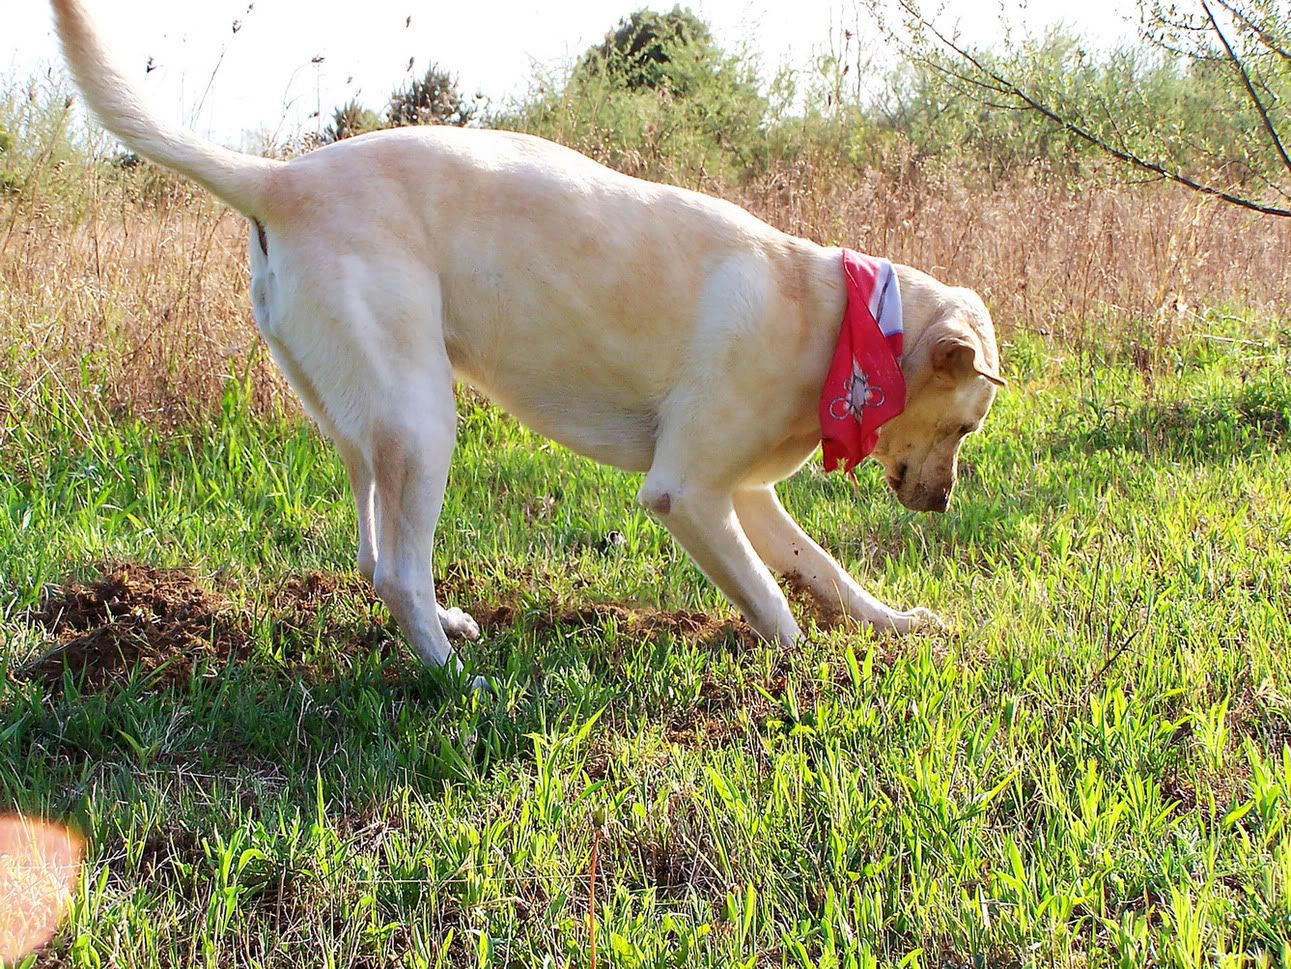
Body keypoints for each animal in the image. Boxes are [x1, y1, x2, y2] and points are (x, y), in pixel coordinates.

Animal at [51, 0, 1004, 685]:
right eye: (964, 426)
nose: (942, 505)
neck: (837, 320)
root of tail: (279, 179)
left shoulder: (746, 496)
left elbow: (824, 572)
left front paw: (896, 626)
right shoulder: (688, 492)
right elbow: (774, 601)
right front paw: (807, 670)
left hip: (367, 430)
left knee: (373, 554)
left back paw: (446, 627)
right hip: (424, 424)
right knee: (398, 572)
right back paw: (454, 676)